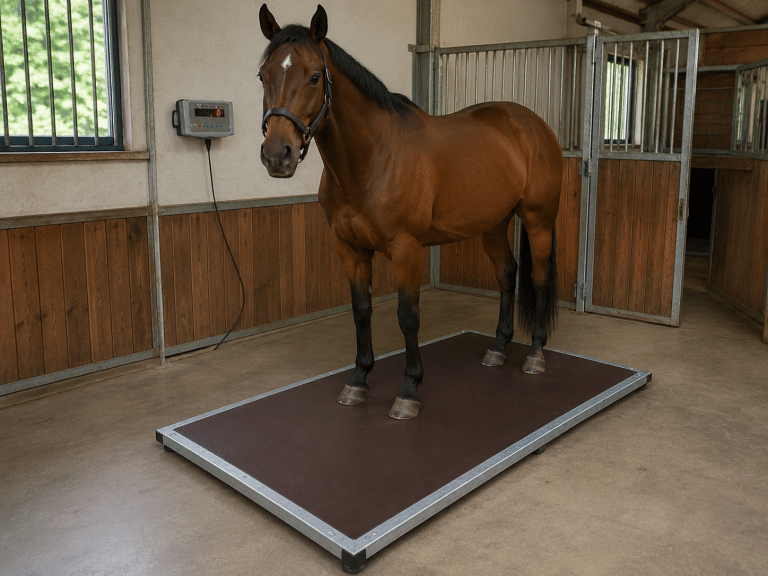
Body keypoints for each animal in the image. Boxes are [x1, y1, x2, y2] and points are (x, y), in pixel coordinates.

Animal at [258, 4, 562, 420]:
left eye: (315, 77)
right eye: (263, 75)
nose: (277, 155)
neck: (373, 159)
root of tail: (532, 124)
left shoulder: (407, 250)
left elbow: (408, 316)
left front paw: (409, 390)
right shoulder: (350, 249)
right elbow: (361, 311)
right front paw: (358, 380)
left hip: (538, 220)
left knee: (540, 278)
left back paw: (535, 354)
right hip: (493, 224)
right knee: (507, 273)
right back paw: (498, 348)